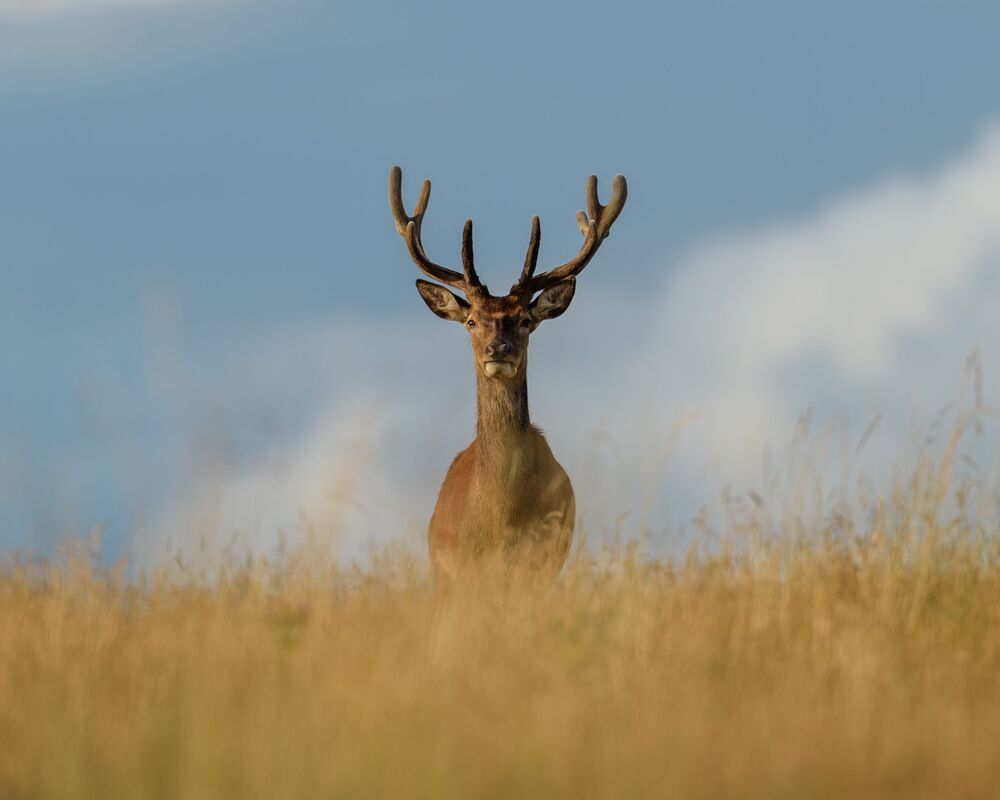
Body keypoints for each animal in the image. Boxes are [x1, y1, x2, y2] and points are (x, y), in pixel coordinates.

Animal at [389, 166, 627, 580]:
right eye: (470, 321)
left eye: (526, 320)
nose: (498, 349)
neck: (502, 520)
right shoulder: (459, 567)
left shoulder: (545, 558)